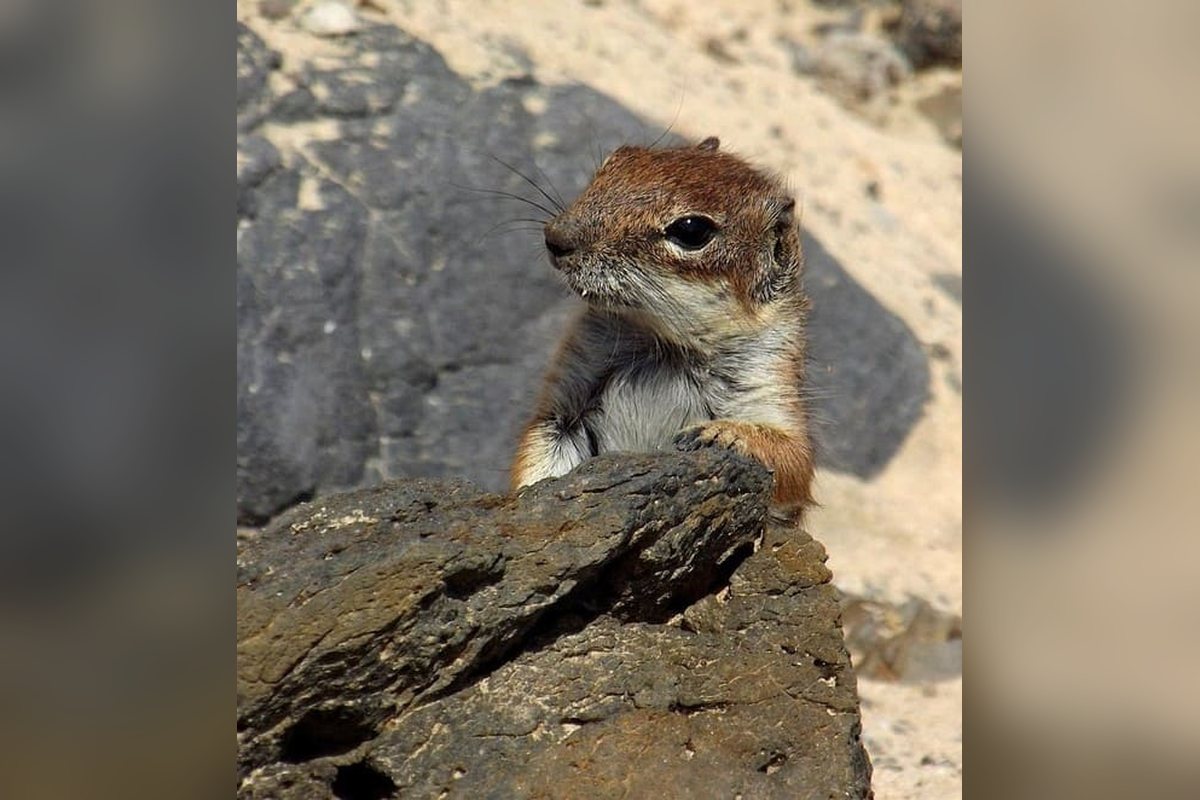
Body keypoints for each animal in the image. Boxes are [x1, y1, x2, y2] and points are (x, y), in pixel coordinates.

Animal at [510, 137, 815, 520]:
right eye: (618, 159)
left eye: (691, 230)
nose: (556, 237)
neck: (663, 344)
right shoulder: (565, 399)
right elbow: (540, 449)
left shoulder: (771, 381)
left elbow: (794, 460)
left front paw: (723, 435)